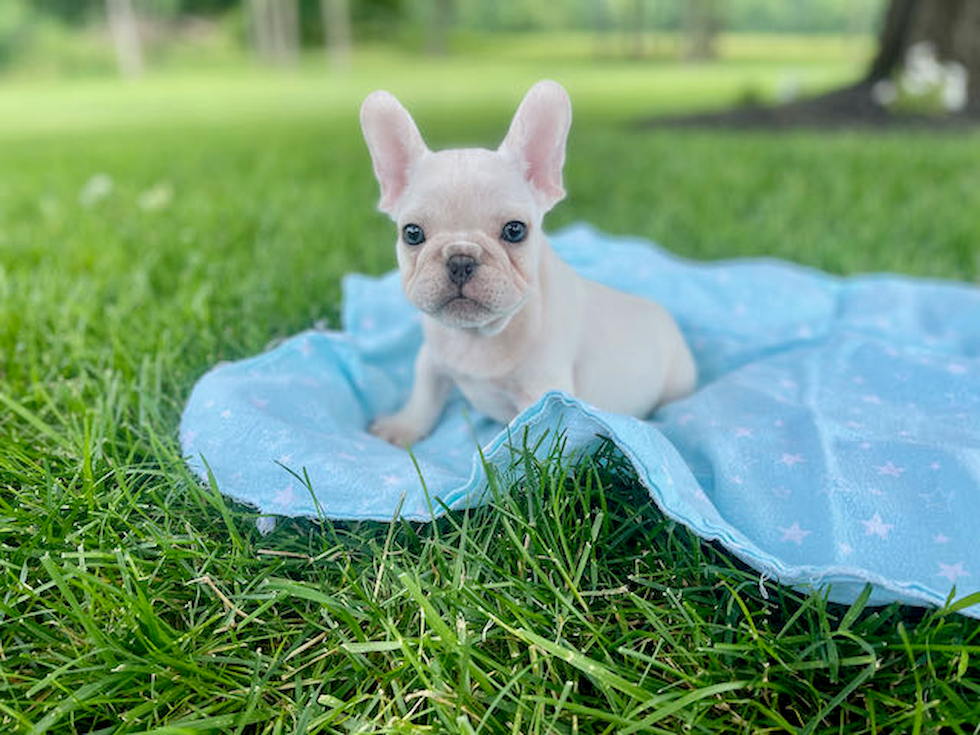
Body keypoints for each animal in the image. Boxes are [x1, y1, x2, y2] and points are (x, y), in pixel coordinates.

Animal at [360, 81, 696, 448]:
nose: (461, 258)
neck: (477, 337)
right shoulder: (431, 359)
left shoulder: (544, 396)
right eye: (412, 233)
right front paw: (403, 426)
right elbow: (423, 396)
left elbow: (528, 444)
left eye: (515, 230)